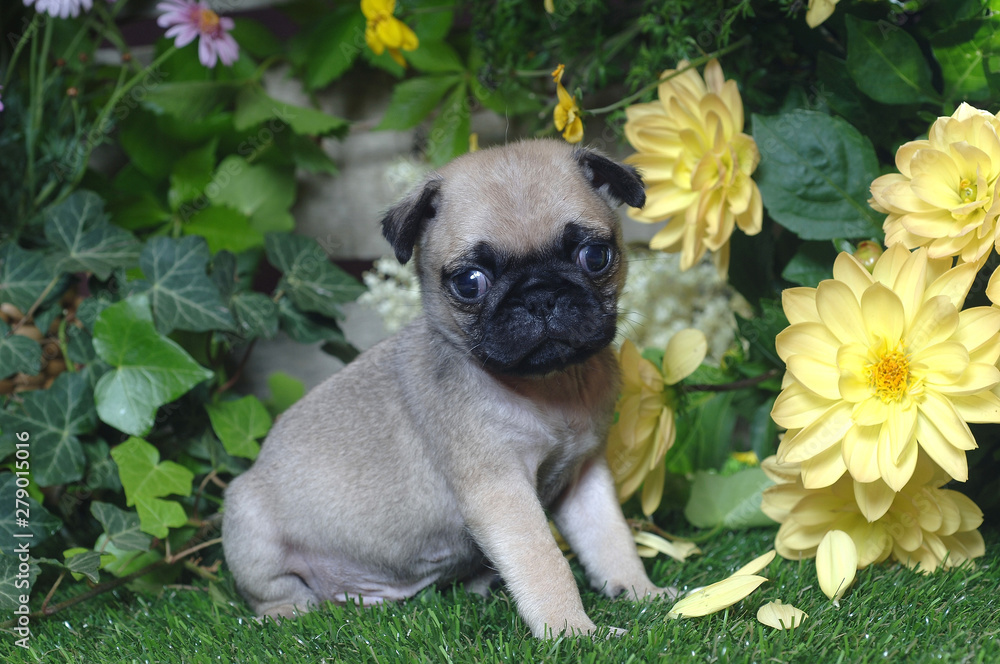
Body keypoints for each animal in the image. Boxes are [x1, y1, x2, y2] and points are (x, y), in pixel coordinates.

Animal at [222, 139, 671, 638]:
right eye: (469, 282)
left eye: (595, 257)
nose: (540, 296)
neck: (552, 386)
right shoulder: (501, 491)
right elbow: (545, 562)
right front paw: (572, 632)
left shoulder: (585, 477)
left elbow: (611, 539)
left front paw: (641, 592)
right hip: (246, 519)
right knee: (271, 593)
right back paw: (292, 613)